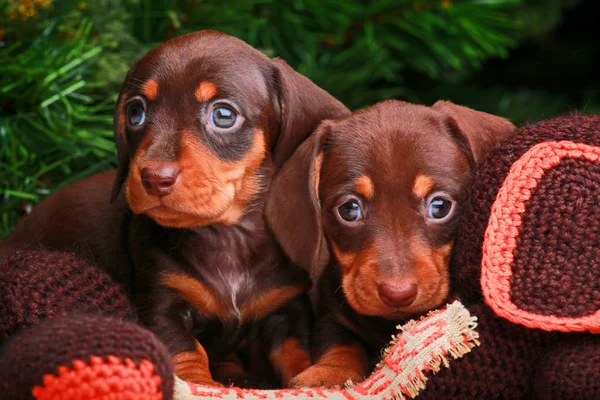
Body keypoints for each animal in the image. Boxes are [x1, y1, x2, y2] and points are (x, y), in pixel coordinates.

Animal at [0, 30, 350, 388]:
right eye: (135, 112)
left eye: (224, 115)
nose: (155, 178)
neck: (229, 239)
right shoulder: (161, 302)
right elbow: (186, 352)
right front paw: (203, 384)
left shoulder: (287, 307)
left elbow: (298, 351)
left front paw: (319, 375)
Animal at [264, 98, 512, 386]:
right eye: (349, 209)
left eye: (440, 206)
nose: (398, 293)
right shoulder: (331, 315)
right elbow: (340, 341)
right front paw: (330, 372)